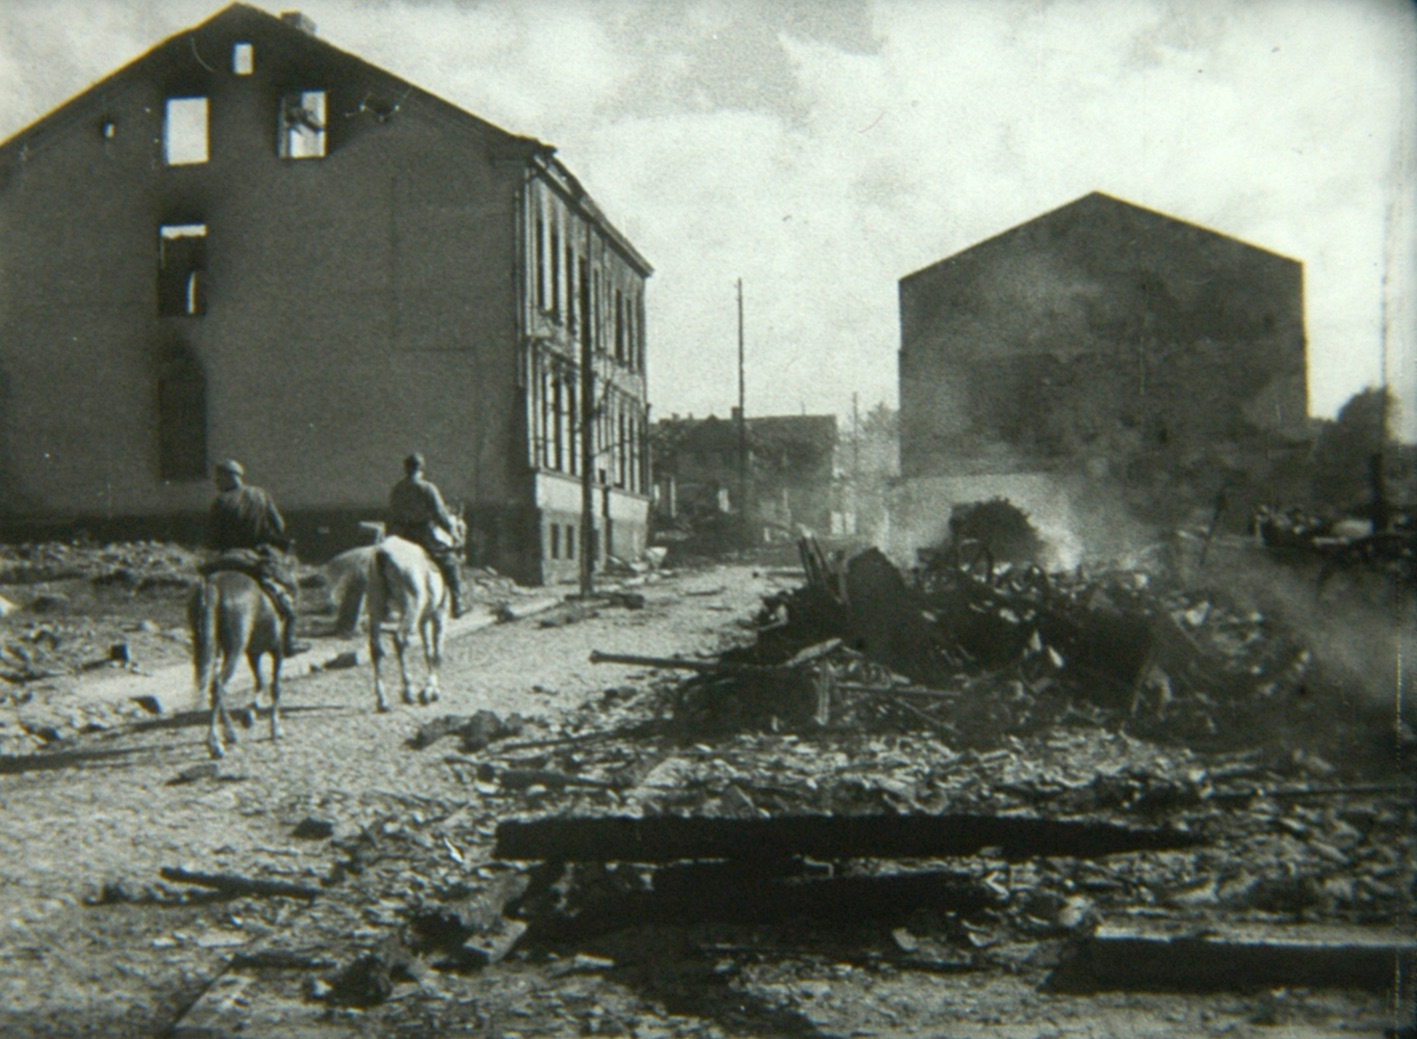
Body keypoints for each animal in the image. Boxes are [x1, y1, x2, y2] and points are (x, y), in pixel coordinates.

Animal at [189, 566, 286, 754]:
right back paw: (216, 741)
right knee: (218, 686)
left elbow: (261, 683)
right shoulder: (276, 650)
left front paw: (249, 714)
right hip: (234, 650)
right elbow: (275, 687)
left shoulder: (253, 654)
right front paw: (275, 728)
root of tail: (211, 584)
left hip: (206, 647)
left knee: (212, 685)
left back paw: (226, 735)